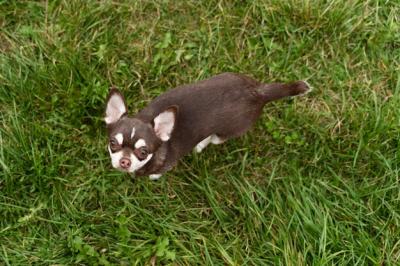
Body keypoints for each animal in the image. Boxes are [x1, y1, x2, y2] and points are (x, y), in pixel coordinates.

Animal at [104, 71, 310, 180]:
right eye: (113, 143)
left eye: (143, 152)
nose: (125, 161)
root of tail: (258, 92)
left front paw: (153, 177)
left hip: (226, 133)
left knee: (213, 138)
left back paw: (200, 145)